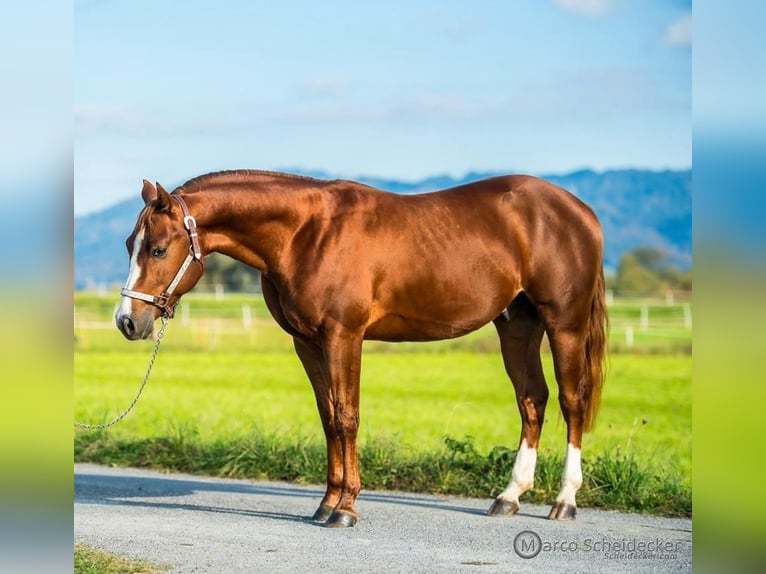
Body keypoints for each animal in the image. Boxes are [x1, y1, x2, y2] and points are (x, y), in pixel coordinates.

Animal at [115, 169, 608, 527]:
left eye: (158, 249)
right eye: (129, 244)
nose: (127, 321)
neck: (305, 234)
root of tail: (580, 211)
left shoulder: (343, 337)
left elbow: (347, 418)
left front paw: (346, 509)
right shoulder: (308, 344)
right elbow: (329, 419)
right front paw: (326, 503)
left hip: (564, 323)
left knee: (572, 401)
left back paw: (564, 500)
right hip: (517, 325)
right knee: (532, 400)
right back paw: (509, 496)